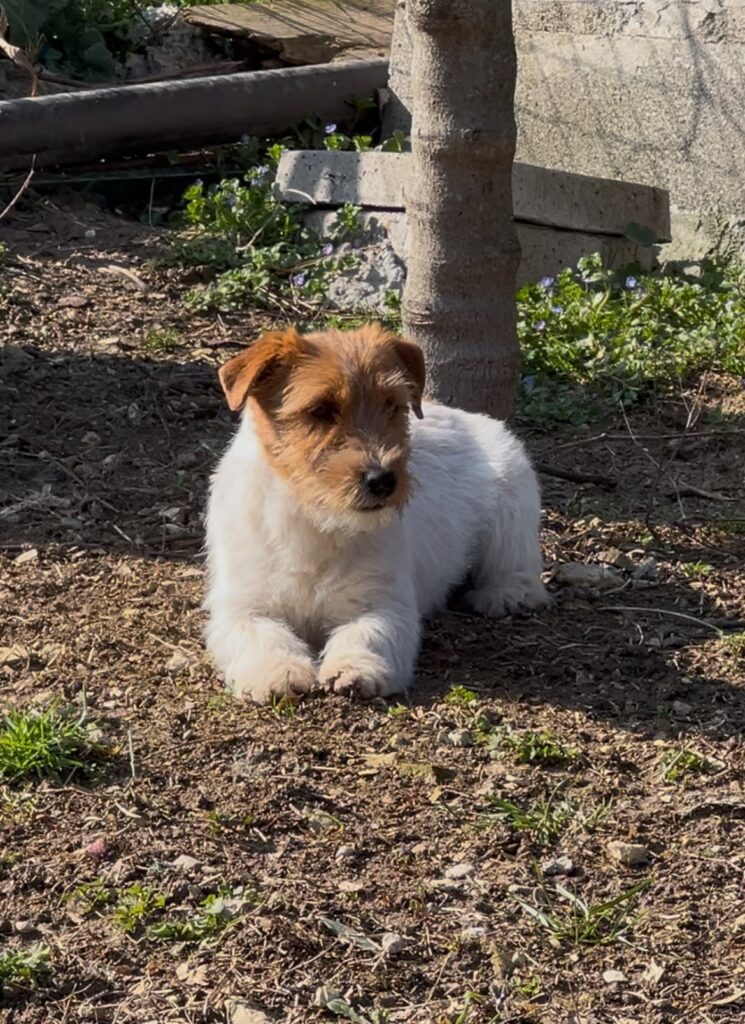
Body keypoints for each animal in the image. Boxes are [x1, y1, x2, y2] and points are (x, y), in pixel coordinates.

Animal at [204, 323, 548, 700]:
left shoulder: (382, 604)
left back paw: (505, 594)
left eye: (392, 404)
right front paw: (278, 670)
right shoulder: (243, 606)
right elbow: (261, 635)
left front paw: (355, 667)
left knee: (517, 564)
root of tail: (468, 415)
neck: (316, 520)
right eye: (321, 410)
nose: (382, 479)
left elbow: (367, 633)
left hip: (511, 509)